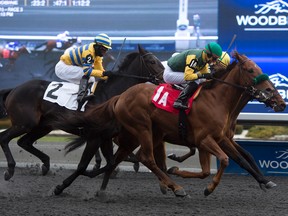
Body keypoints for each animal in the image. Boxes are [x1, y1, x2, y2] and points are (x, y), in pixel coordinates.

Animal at [58, 51, 286, 197]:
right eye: (250, 70)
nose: (278, 100)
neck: (217, 100)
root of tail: (120, 96)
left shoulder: (220, 138)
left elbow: (240, 158)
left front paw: (265, 181)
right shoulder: (205, 139)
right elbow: (225, 160)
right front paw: (208, 187)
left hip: (136, 135)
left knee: (118, 158)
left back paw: (102, 189)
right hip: (142, 128)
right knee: (145, 158)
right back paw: (175, 187)